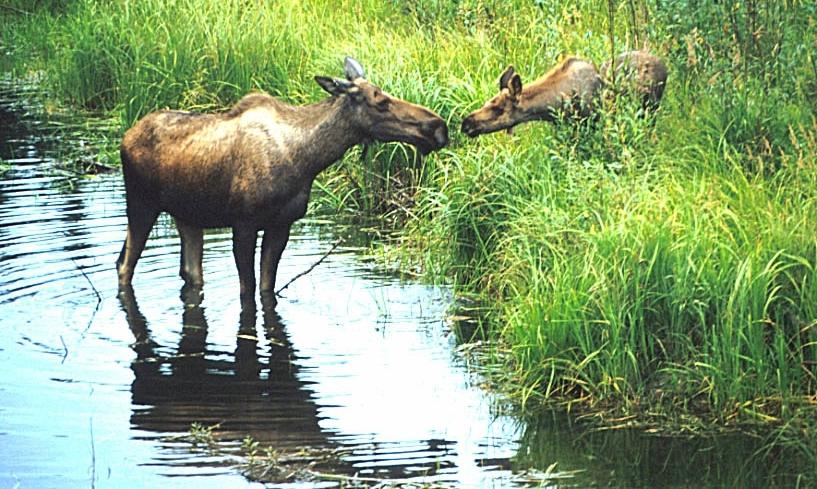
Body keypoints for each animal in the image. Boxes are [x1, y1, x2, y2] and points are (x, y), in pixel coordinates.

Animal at [117, 57, 448, 303]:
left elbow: (266, 288)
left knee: (190, 272)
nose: (438, 127)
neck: (307, 159)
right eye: (380, 102)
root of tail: (125, 137)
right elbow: (248, 290)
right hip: (141, 203)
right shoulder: (244, 223)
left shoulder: (282, 224)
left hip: (188, 216)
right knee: (124, 264)